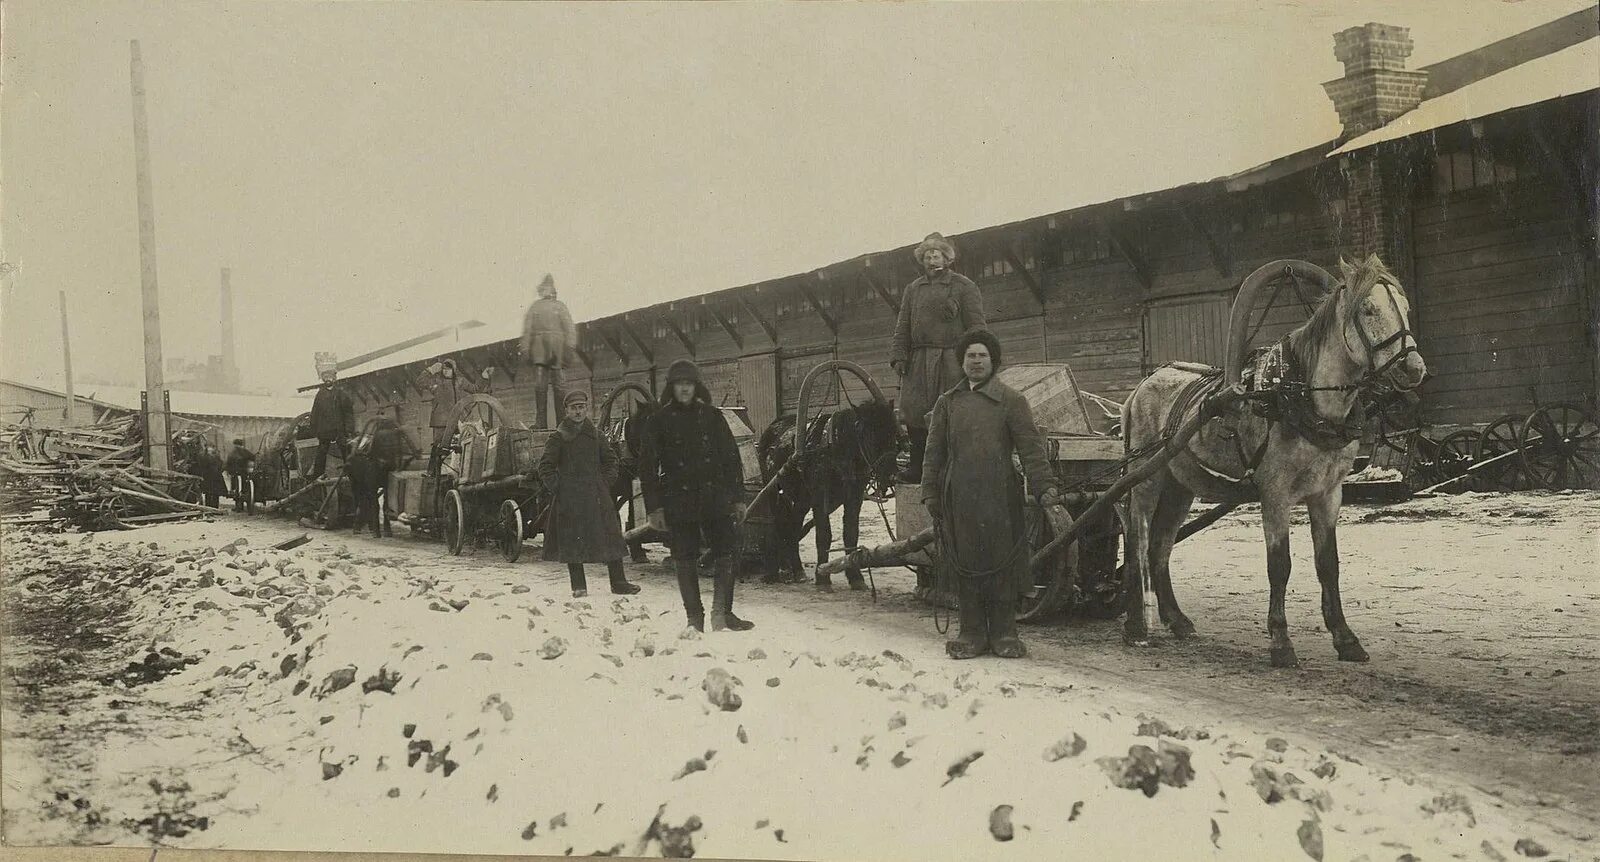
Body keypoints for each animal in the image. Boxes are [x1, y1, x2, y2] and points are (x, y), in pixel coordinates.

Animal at [752, 399, 896, 591]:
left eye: (894, 433)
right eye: (870, 436)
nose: (890, 473)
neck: (836, 448)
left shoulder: (854, 495)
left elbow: (851, 532)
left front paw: (855, 576)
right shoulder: (820, 496)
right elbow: (824, 534)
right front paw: (822, 578)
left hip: (802, 499)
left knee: (793, 526)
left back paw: (796, 570)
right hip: (775, 493)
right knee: (777, 525)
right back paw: (774, 571)